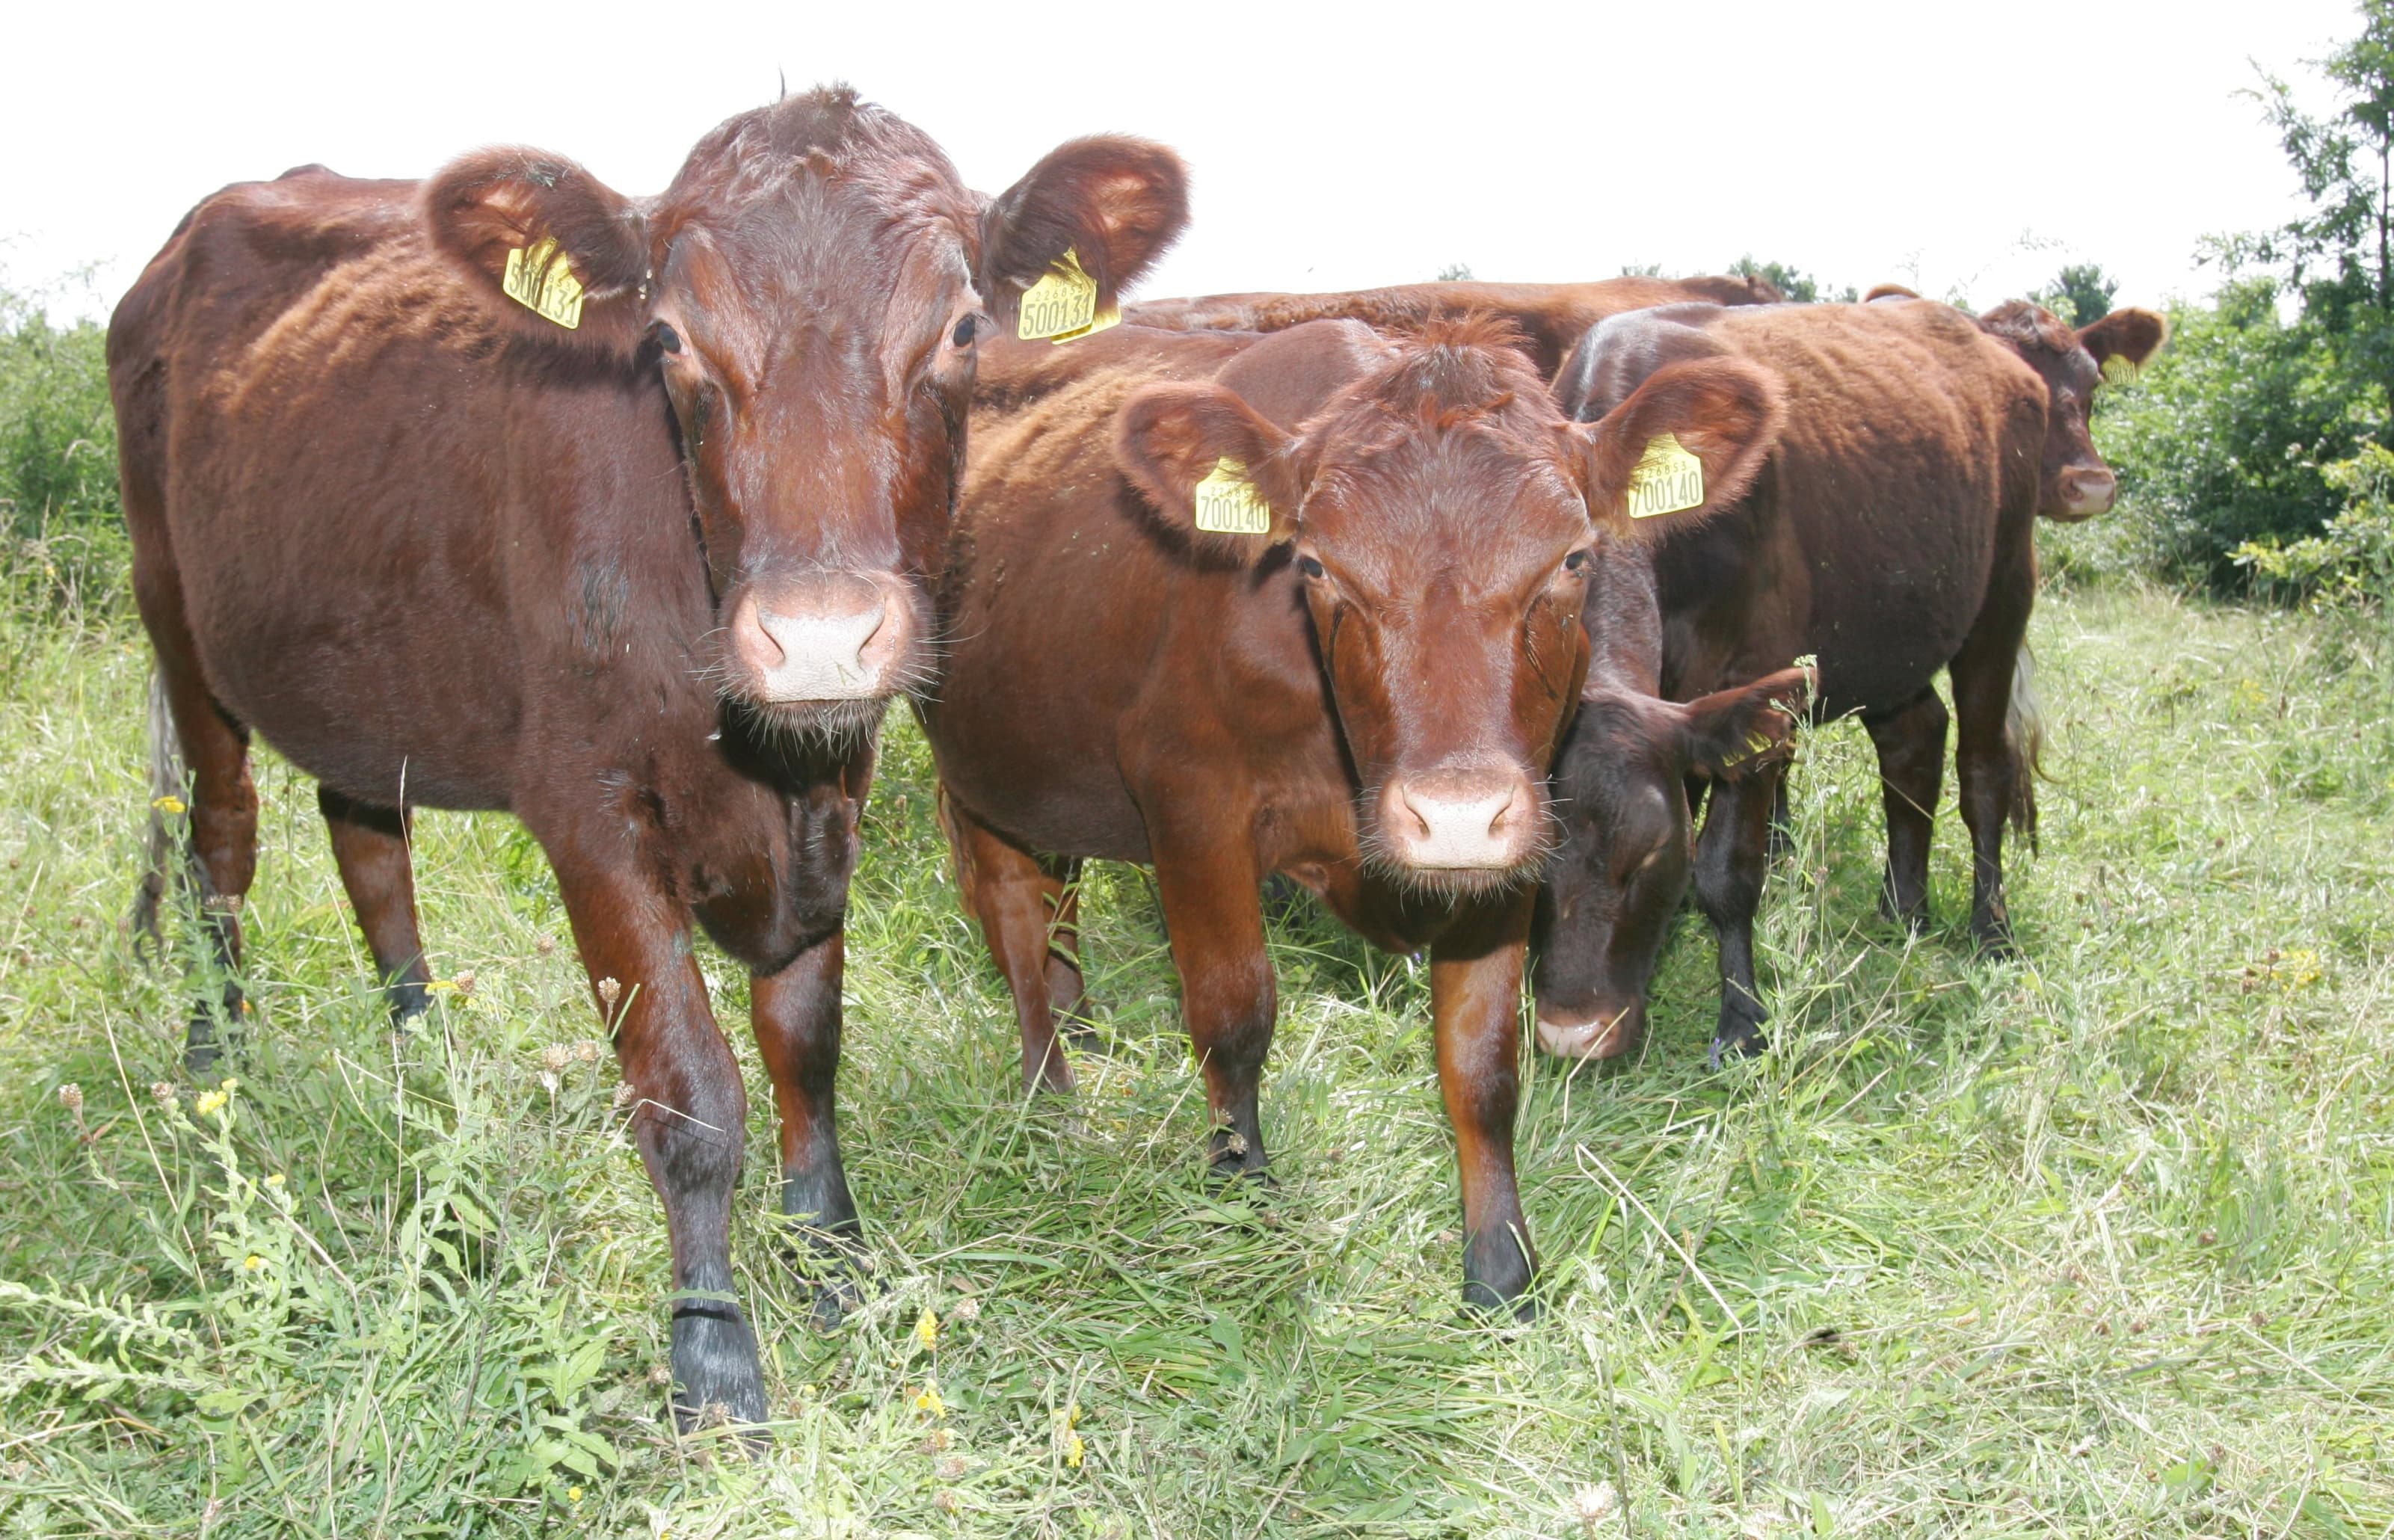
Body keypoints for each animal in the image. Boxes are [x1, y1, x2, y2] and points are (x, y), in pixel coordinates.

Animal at [108, 86, 1189, 1431]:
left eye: (962, 327)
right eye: (670, 338)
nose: (817, 634)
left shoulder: (831, 797)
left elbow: (806, 1045)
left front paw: (831, 1261)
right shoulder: (590, 812)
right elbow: (688, 1090)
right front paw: (714, 1355)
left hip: (363, 667)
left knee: (367, 838)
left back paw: (425, 1060)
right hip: (176, 617)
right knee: (222, 841)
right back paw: (218, 1064)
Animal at [922, 314, 1789, 1315]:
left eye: (1572, 557)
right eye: (1315, 564)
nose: (1452, 812)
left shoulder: (1507, 836)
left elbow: (1482, 1060)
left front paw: (1501, 1271)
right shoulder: (1191, 807)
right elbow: (1234, 1016)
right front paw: (1242, 1198)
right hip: (977, 768)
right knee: (1015, 923)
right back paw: (1050, 1094)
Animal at [1531, 295, 2166, 1066]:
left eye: (1653, 849)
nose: (1574, 1035)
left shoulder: (1754, 678)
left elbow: (1728, 869)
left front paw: (1742, 1022)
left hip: (2003, 593)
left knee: (1983, 769)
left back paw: (1990, 929)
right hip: (1889, 629)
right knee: (1915, 739)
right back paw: (1904, 908)